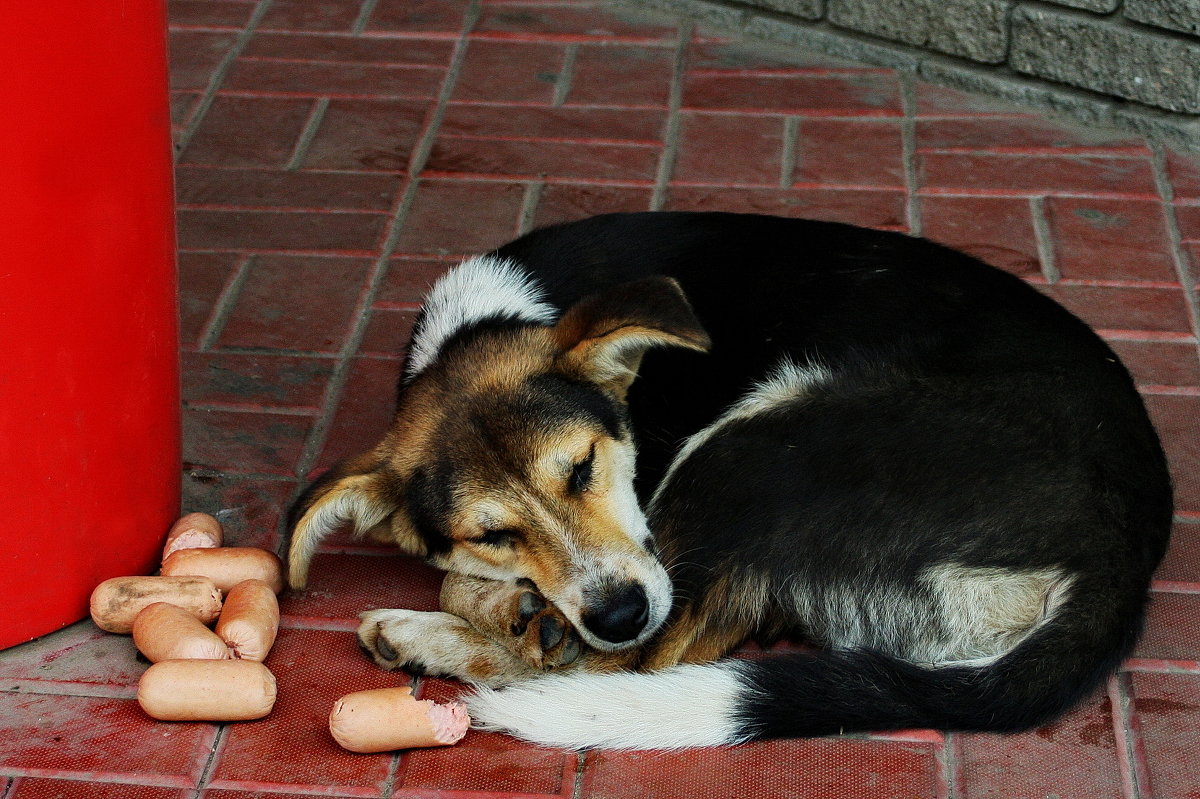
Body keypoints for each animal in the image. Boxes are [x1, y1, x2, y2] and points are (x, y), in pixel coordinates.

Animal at [288, 211, 1171, 748]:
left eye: (584, 466)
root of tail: (1121, 556)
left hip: (756, 443)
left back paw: (436, 637)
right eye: (493, 531)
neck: (483, 323)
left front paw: (505, 615)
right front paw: (514, 603)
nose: (618, 613)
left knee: (634, 666)